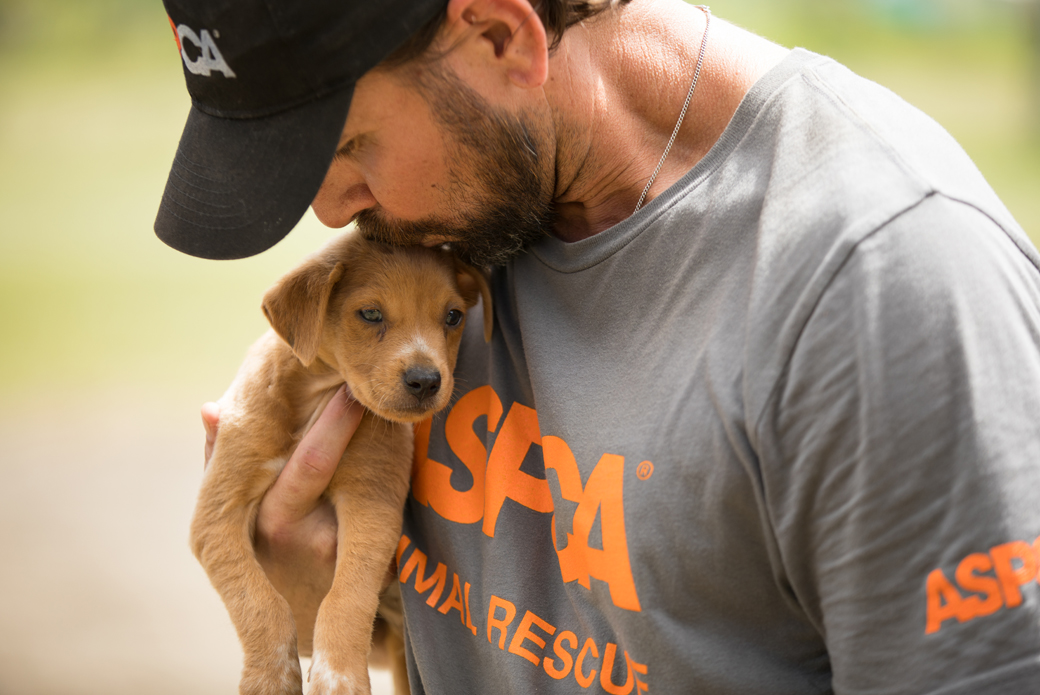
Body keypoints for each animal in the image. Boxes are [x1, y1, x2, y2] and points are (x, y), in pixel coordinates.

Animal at [191, 232, 490, 695]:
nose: (426, 381)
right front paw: (270, 677)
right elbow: (259, 601)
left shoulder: (371, 504)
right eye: (370, 314)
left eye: (454, 316)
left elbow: (346, 597)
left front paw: (338, 675)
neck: (316, 397)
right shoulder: (217, 516)